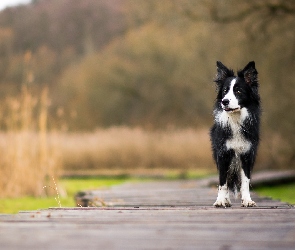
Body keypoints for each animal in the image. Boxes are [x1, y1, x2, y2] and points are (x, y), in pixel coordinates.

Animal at [210, 61, 262, 208]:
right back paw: (226, 200)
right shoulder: (223, 154)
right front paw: (220, 200)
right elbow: (223, 182)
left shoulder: (247, 154)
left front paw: (247, 200)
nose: (224, 101)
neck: (235, 118)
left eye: (238, 91)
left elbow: (245, 181)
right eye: (225, 91)